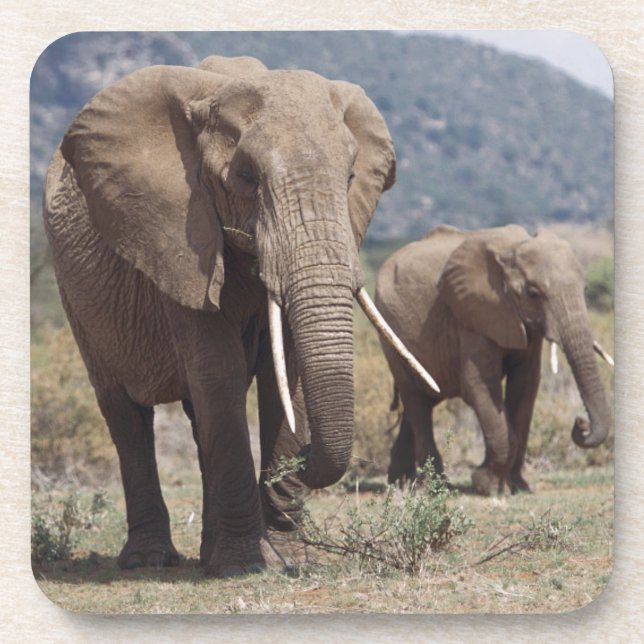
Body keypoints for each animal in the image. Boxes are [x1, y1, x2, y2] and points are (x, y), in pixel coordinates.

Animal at [42, 55, 438, 577]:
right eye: (247, 178)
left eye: (351, 177)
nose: (303, 462)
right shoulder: (179, 238)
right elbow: (219, 371)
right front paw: (246, 565)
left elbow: (283, 376)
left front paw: (289, 558)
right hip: (78, 298)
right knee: (125, 413)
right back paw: (152, 561)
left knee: (195, 415)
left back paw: (209, 554)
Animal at [375, 224, 612, 495]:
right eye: (533, 293)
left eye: (585, 290)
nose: (580, 423)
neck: (514, 248)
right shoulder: (473, 316)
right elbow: (479, 384)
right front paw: (487, 485)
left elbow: (525, 386)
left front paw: (518, 487)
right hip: (390, 330)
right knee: (415, 399)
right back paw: (434, 487)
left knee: (421, 400)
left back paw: (401, 483)